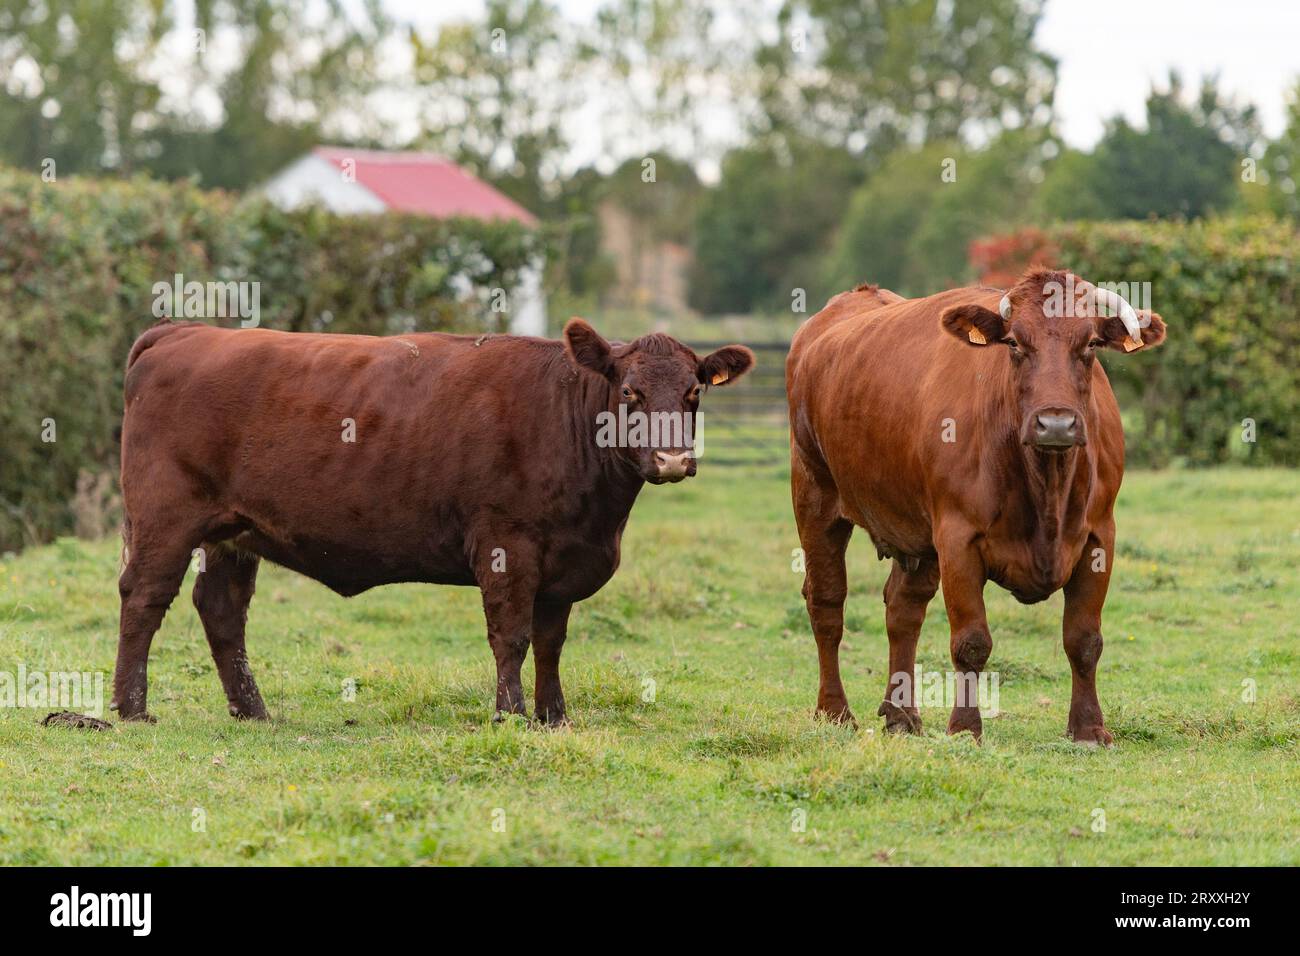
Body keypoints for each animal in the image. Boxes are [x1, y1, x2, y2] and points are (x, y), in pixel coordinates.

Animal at [119, 317, 759, 723]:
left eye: (694, 393)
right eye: (629, 392)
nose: (672, 459)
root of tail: (184, 331)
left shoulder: (562, 564)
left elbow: (551, 642)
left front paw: (554, 717)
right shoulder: (508, 544)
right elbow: (512, 635)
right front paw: (510, 715)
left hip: (234, 532)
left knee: (222, 610)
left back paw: (253, 711)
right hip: (165, 517)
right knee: (144, 597)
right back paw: (130, 708)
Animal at [785, 270, 1175, 749]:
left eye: (1090, 345)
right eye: (1015, 344)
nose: (1056, 423)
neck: (1046, 487)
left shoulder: (1099, 536)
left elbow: (1084, 639)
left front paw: (1088, 728)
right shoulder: (958, 539)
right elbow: (971, 642)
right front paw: (965, 727)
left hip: (915, 531)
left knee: (902, 610)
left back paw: (902, 715)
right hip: (815, 495)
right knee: (827, 604)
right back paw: (835, 711)